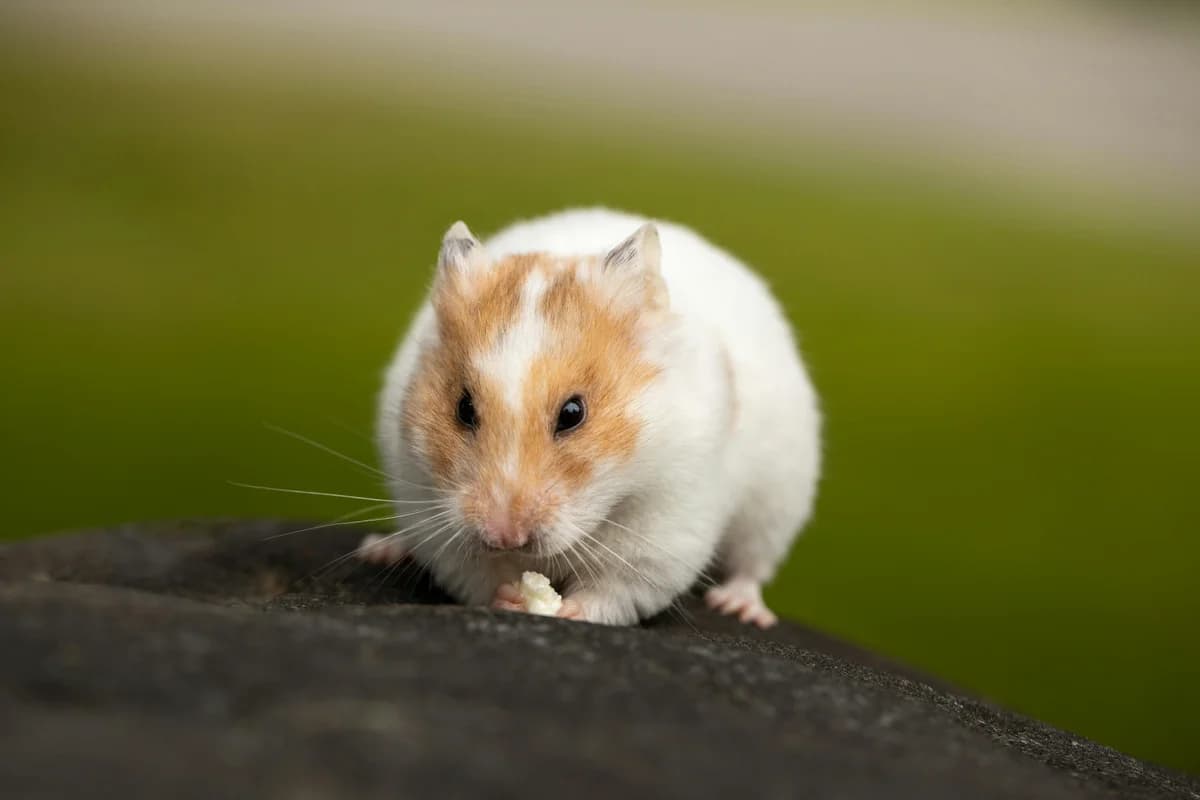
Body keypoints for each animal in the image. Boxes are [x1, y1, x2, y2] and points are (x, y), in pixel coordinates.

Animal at [368, 208, 821, 628]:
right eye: (463, 408)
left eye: (573, 413)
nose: (506, 536)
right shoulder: (430, 508)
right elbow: (476, 575)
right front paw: (512, 597)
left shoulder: (662, 531)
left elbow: (613, 589)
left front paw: (567, 610)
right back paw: (383, 550)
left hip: (777, 502)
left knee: (752, 565)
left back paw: (740, 607)